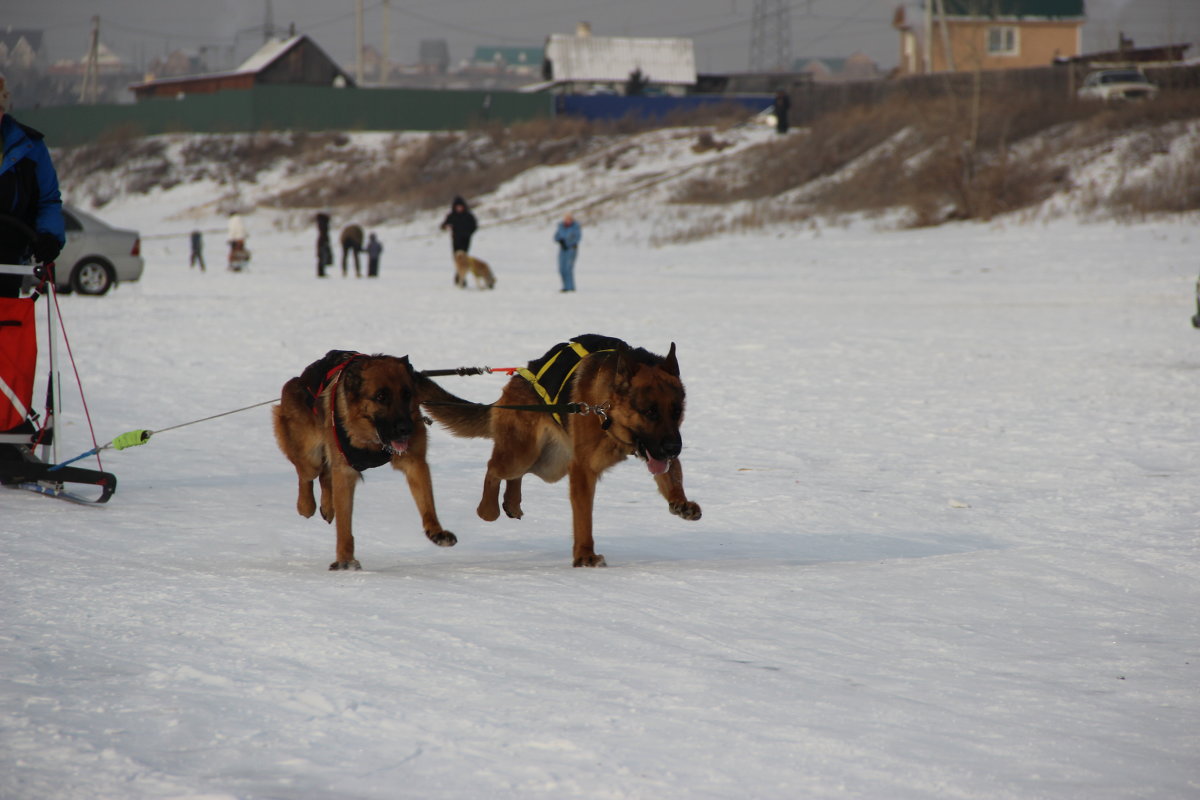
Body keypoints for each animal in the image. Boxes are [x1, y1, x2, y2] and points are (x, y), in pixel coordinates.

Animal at [274, 350, 456, 568]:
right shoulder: (345, 472)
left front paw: (436, 531)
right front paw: (345, 560)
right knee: (308, 474)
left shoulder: (415, 463)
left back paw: (327, 506)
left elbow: (427, 505)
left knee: (325, 476)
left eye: (407, 395)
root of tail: (303, 376)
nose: (406, 429)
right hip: (310, 456)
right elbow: (344, 525)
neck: (373, 440)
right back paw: (306, 505)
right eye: (381, 396)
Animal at [424, 335, 700, 566]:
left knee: (516, 475)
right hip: (522, 455)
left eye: (676, 412)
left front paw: (680, 501)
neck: (606, 411)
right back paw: (487, 509)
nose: (675, 448)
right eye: (650, 412)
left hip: (550, 464)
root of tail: (519, 377)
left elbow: (672, 476)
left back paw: (511, 501)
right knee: (494, 468)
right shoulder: (583, 470)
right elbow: (583, 518)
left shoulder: (658, 449)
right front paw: (585, 555)